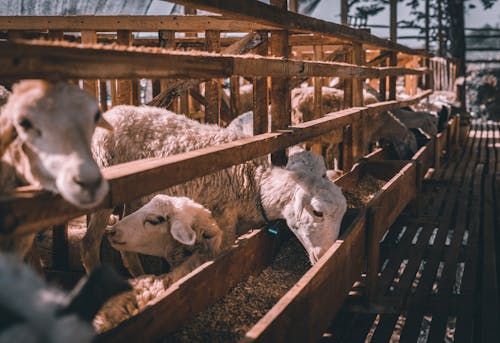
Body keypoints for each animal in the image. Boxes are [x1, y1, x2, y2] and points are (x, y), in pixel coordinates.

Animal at [83, 105, 348, 276]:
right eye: (318, 212)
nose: (325, 254)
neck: (253, 183)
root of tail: (111, 112)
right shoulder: (220, 225)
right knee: (89, 242)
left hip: (135, 195)